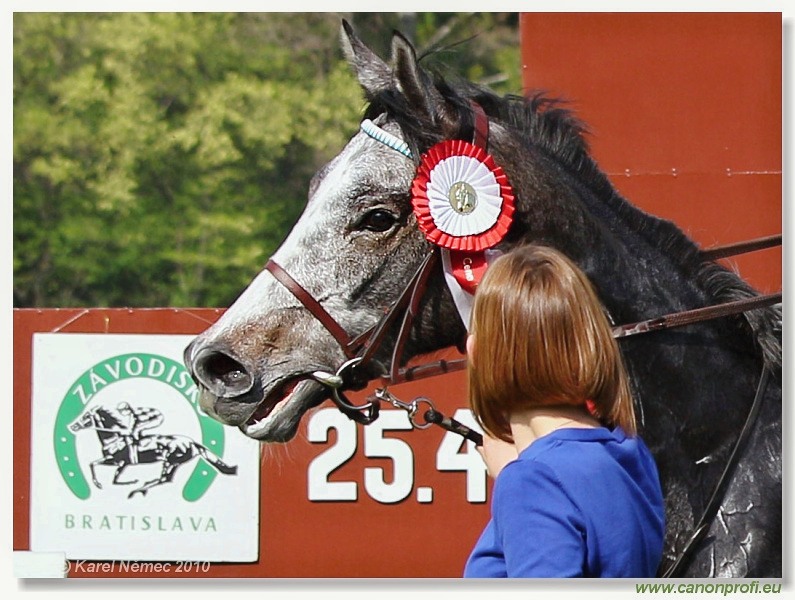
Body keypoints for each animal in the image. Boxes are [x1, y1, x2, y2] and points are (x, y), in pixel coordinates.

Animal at [69, 406, 238, 500]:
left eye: (86, 416)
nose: (72, 426)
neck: (114, 439)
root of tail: (192, 443)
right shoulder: (117, 462)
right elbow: (99, 468)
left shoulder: (119, 461)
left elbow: (107, 474)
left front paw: (128, 482)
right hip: (174, 462)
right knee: (166, 479)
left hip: (171, 461)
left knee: (164, 478)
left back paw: (137, 490)